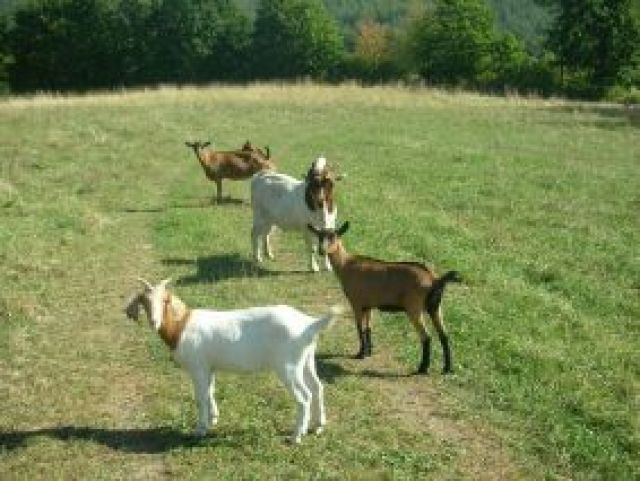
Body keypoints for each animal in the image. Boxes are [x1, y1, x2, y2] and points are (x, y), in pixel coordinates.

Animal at [125, 277, 340, 444]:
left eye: (165, 300)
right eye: (145, 301)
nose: (154, 322)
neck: (181, 326)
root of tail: (308, 324)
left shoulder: (198, 367)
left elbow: (200, 397)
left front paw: (200, 430)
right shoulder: (209, 367)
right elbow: (210, 392)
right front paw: (213, 420)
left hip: (288, 367)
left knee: (304, 397)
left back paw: (296, 436)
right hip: (306, 360)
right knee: (317, 387)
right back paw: (318, 426)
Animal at [307, 222, 461, 374]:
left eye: (334, 236)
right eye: (319, 236)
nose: (321, 251)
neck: (347, 265)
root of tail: (434, 280)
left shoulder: (356, 302)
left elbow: (359, 328)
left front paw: (360, 354)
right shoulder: (368, 305)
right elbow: (368, 328)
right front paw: (369, 352)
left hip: (414, 307)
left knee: (426, 337)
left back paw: (422, 368)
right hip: (435, 307)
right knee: (444, 335)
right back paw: (447, 368)